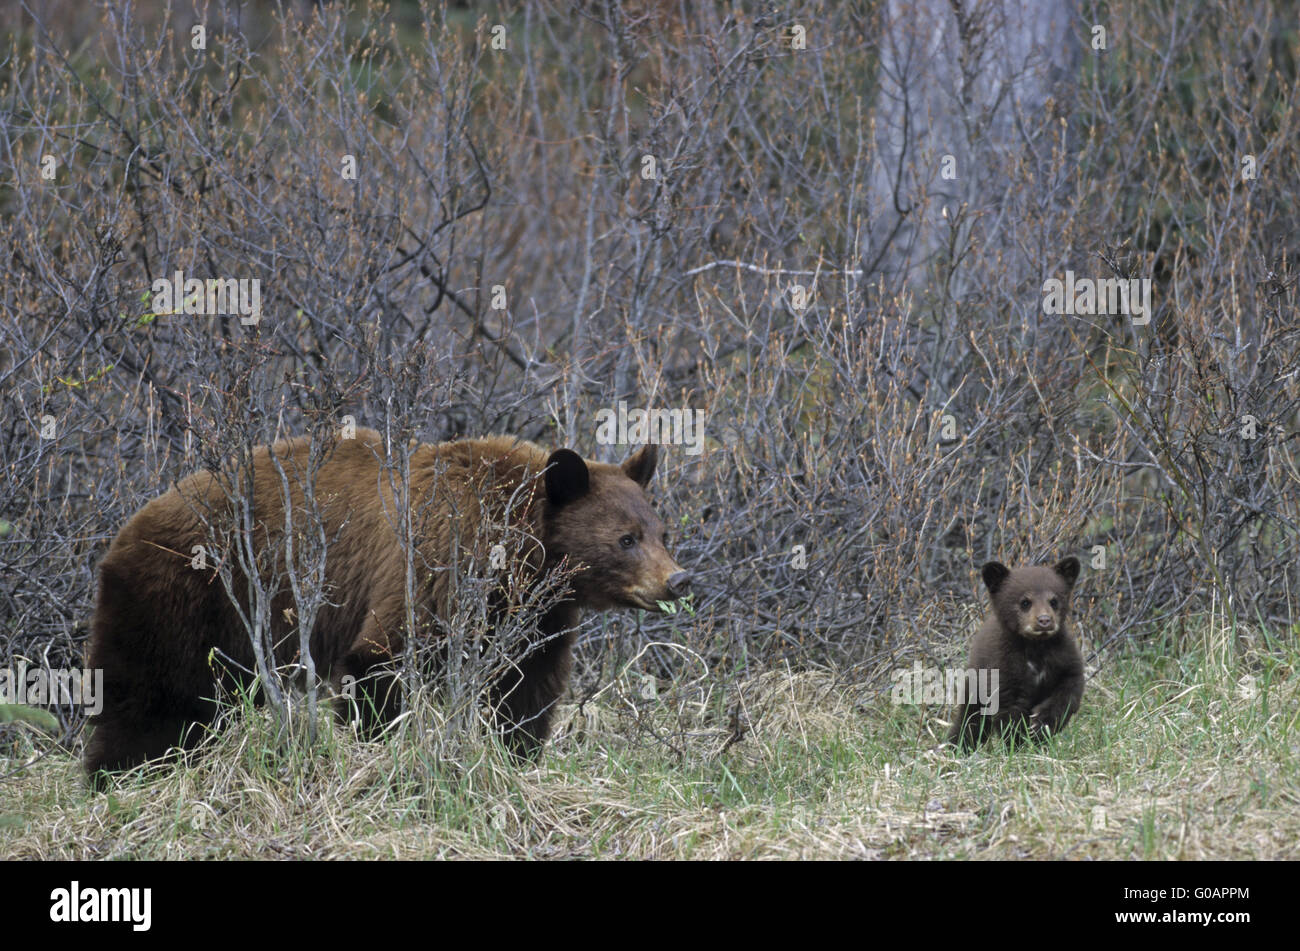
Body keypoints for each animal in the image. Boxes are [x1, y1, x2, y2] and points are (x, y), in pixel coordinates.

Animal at [83, 428, 691, 779]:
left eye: (661, 532)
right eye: (626, 539)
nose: (678, 580)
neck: (519, 551)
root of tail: (127, 528)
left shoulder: (532, 616)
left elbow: (525, 687)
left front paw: (516, 757)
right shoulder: (439, 559)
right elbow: (382, 657)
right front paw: (379, 751)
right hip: (186, 594)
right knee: (152, 696)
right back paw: (124, 773)